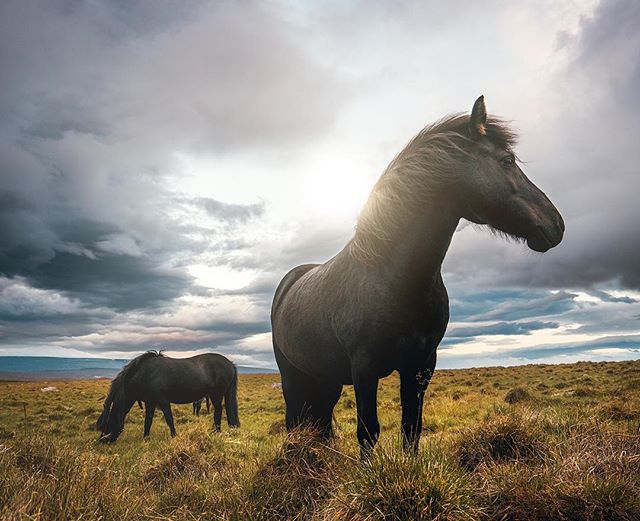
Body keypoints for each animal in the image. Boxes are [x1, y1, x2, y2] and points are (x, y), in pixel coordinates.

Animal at [97, 351, 240, 442]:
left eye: (106, 423)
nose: (102, 441)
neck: (146, 374)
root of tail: (230, 363)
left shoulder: (163, 400)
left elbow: (169, 419)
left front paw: (174, 436)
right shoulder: (150, 402)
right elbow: (148, 420)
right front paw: (146, 438)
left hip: (216, 394)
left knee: (218, 411)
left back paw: (216, 432)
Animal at [271, 96, 564, 455]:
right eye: (507, 160)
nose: (556, 225)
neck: (394, 279)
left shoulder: (421, 364)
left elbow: (412, 428)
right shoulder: (364, 368)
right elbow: (368, 431)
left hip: (325, 377)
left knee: (320, 421)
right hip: (293, 375)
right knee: (295, 420)